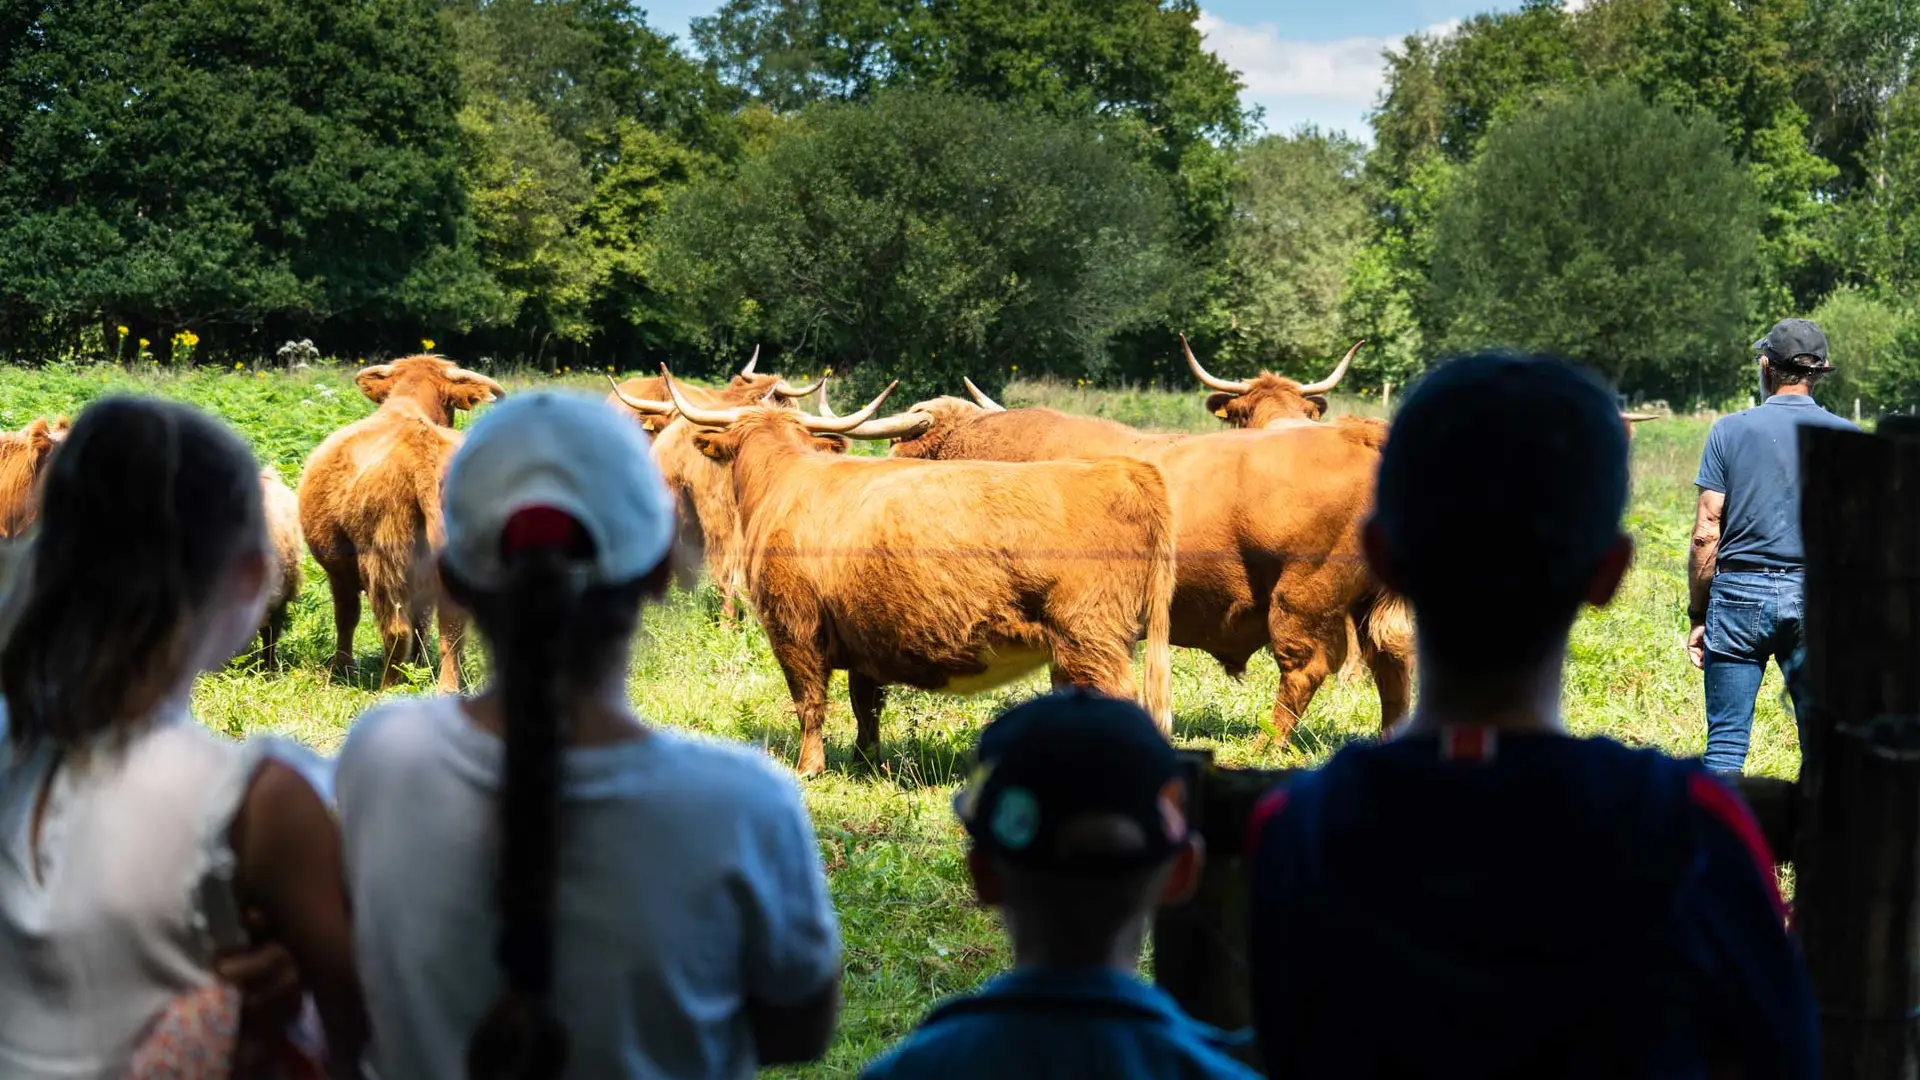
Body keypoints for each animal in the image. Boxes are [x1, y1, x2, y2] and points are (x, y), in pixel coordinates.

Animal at [293, 353, 499, 687]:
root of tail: (423, 451)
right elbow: (422, 621)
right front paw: (420, 664)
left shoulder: (339, 570)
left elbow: (346, 617)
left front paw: (342, 668)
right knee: (450, 629)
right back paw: (445, 687)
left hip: (383, 556)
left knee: (395, 628)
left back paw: (388, 685)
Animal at [652, 368, 1175, 772]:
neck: (786, 481)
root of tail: (1125, 470)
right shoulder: (862, 636)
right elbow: (865, 706)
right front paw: (866, 761)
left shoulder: (792, 627)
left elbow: (809, 702)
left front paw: (809, 768)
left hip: (1090, 638)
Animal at [848, 390, 1420, 745]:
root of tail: (1357, 435)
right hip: (1369, 605)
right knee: (1392, 665)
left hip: (1301, 599)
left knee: (1306, 669)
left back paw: (1264, 745)